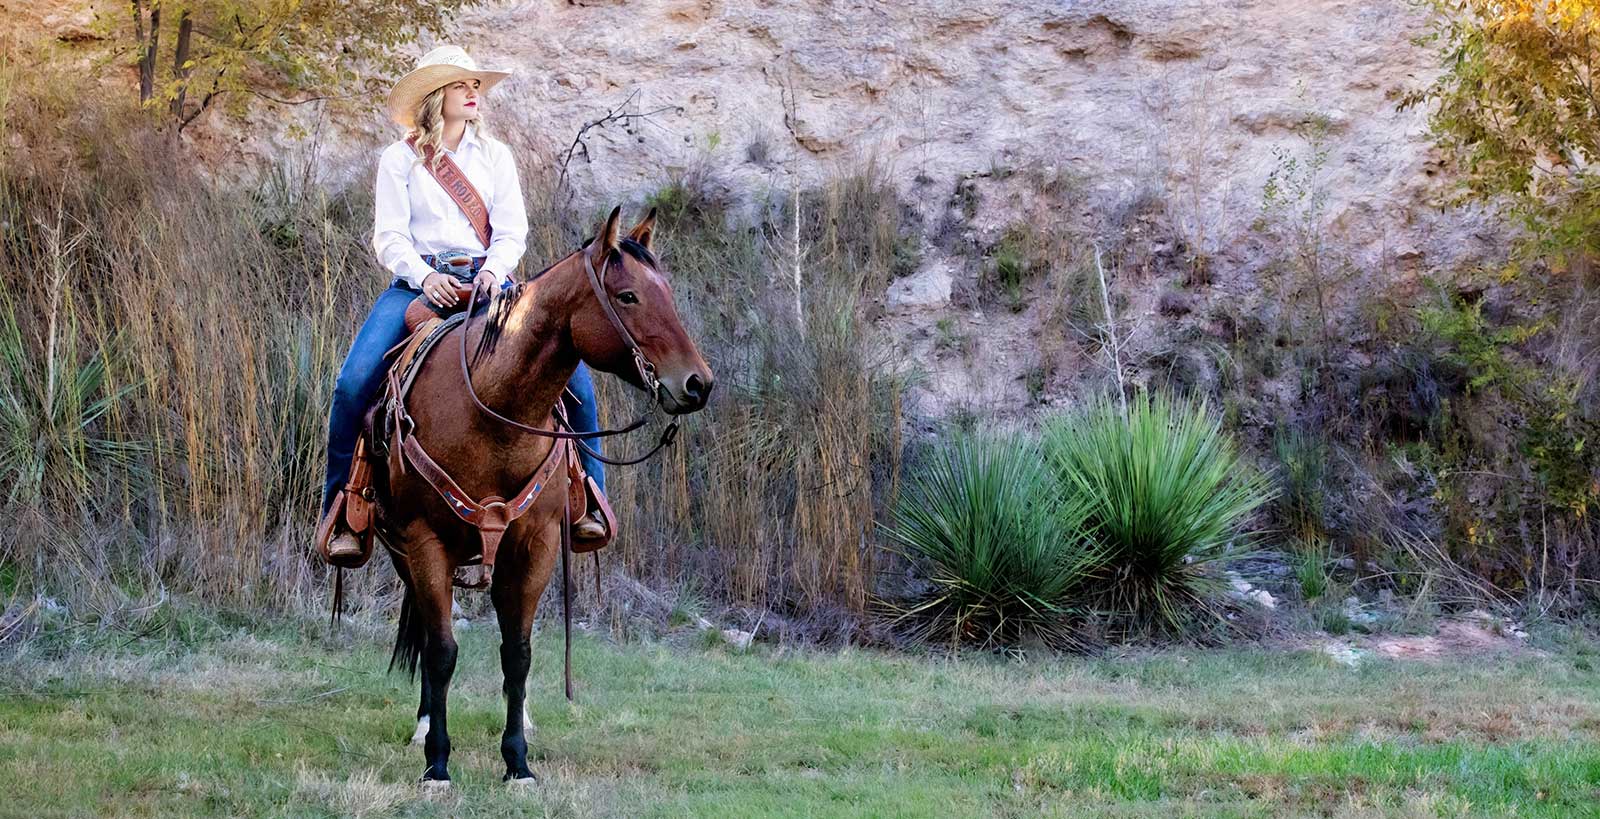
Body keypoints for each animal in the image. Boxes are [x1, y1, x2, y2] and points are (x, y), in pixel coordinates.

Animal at [371, 204, 710, 787]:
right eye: (628, 296)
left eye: (665, 290)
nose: (697, 384)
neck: (489, 409)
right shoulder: (424, 540)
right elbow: (441, 650)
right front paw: (437, 762)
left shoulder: (536, 544)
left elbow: (519, 653)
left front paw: (518, 761)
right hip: (402, 551)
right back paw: (423, 724)